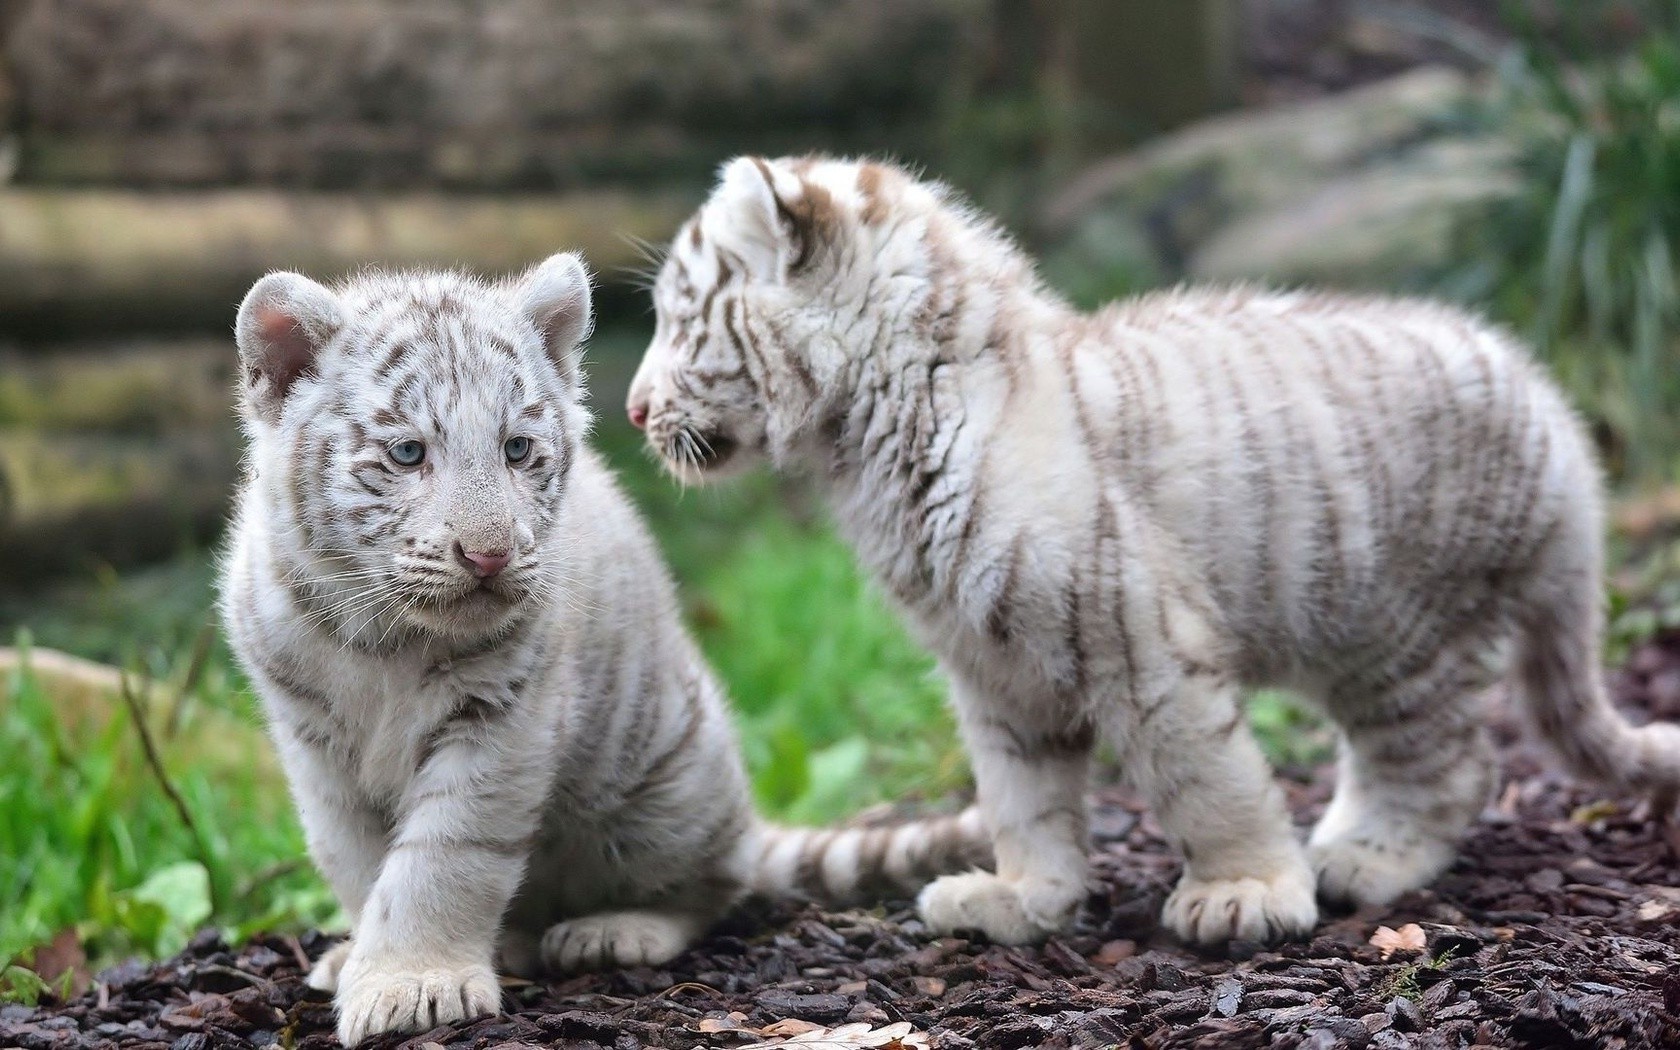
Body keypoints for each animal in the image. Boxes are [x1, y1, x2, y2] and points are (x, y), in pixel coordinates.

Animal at [218, 253, 988, 1045]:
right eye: (408, 454)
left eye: (517, 449)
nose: (490, 556)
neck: (386, 635)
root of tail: (746, 824)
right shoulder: (315, 744)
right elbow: (355, 856)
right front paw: (370, 960)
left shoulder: (501, 723)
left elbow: (443, 860)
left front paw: (413, 983)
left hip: (673, 793)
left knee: (714, 888)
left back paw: (613, 931)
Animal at [625, 155, 1680, 948]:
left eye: (680, 321)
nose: (632, 411)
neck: (872, 443)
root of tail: (1553, 411)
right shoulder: (992, 670)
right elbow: (1022, 797)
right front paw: (1023, 900)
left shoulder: (1140, 639)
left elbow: (1205, 779)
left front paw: (1246, 893)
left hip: (1405, 637)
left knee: (1450, 765)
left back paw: (1360, 860)